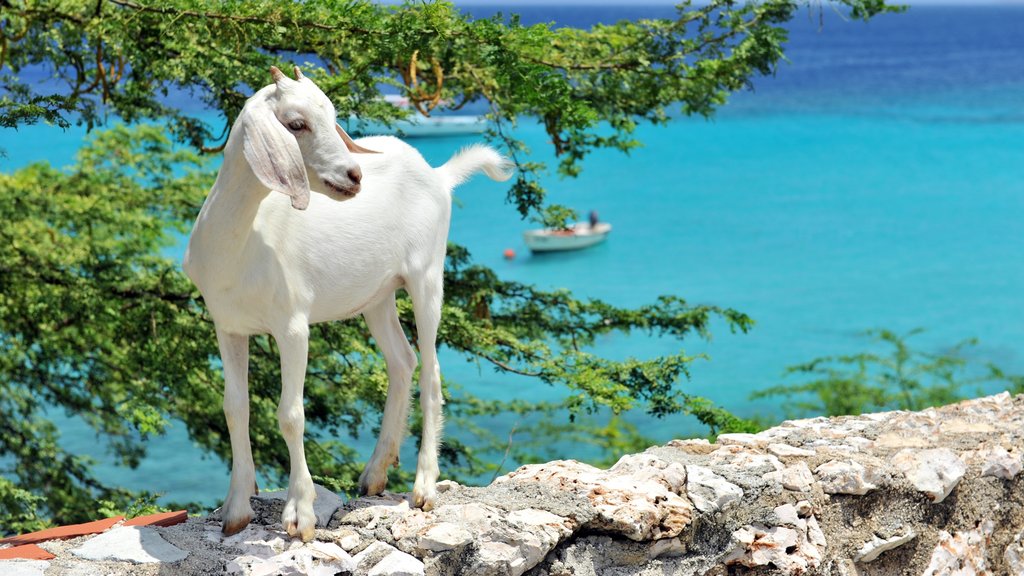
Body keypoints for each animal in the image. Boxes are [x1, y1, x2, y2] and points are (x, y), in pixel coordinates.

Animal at [184, 67, 512, 537]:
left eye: (333, 117)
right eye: (296, 123)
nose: (354, 174)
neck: (243, 241)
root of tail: (438, 174)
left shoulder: (292, 326)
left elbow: (290, 413)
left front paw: (299, 513)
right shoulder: (227, 326)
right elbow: (234, 408)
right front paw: (235, 510)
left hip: (427, 275)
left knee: (431, 372)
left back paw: (424, 487)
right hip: (378, 296)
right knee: (403, 360)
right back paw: (375, 473)